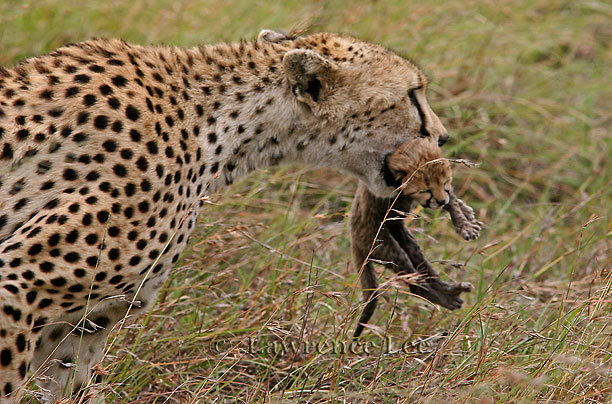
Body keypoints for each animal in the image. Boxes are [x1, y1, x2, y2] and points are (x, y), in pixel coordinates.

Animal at [352, 139, 480, 338]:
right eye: (427, 190)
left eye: (445, 183)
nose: (440, 201)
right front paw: (465, 220)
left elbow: (453, 201)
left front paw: (465, 219)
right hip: (383, 245)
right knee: (414, 283)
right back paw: (444, 298)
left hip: (406, 240)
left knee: (424, 268)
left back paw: (451, 291)